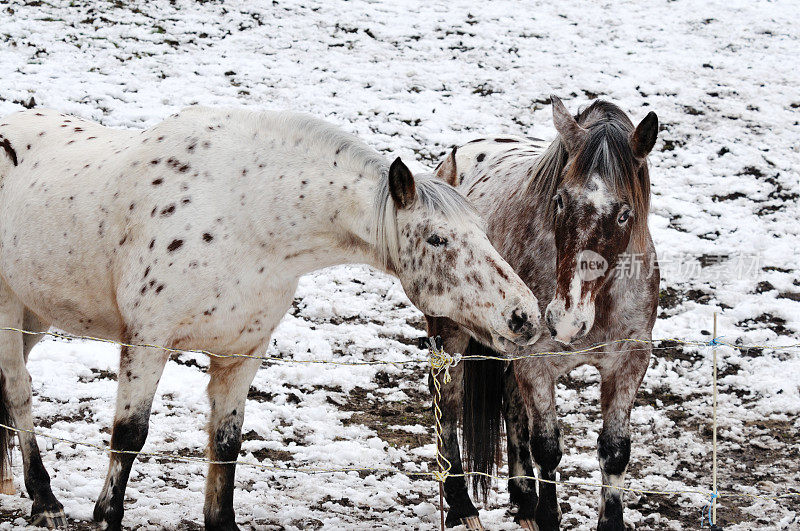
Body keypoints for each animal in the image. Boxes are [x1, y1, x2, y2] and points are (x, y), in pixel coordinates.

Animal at [0, 106, 544, 528]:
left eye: (482, 229)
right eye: (437, 238)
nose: (523, 317)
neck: (243, 215)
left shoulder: (243, 351)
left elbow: (226, 442)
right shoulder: (148, 341)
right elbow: (129, 436)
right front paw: (104, 515)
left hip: (35, 315)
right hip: (8, 309)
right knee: (19, 391)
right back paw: (45, 500)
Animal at [428, 96, 660, 531]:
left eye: (625, 214)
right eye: (561, 200)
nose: (566, 320)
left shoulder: (629, 362)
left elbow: (615, 451)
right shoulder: (536, 363)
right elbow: (548, 449)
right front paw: (548, 516)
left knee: (509, 402)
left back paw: (523, 498)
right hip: (449, 335)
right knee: (447, 405)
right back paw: (462, 504)